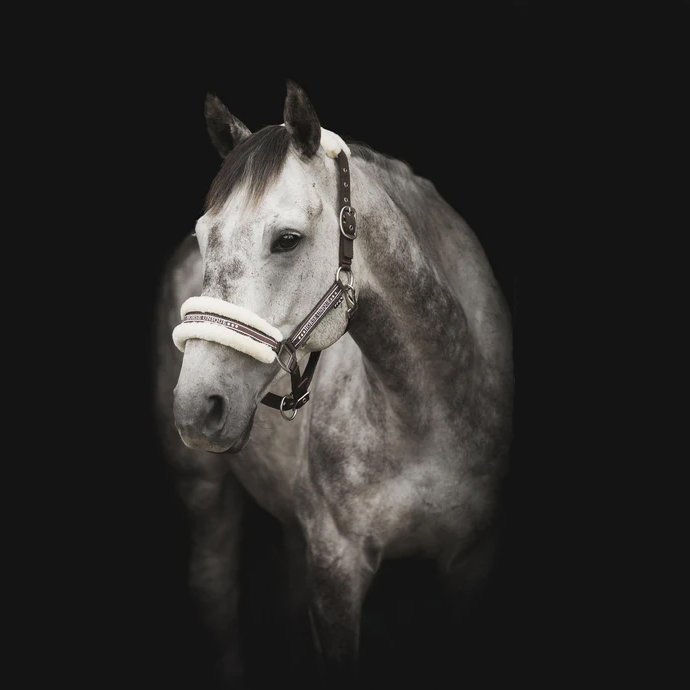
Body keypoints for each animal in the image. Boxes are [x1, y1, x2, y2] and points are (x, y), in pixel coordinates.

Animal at [155, 80, 513, 688]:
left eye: (287, 239)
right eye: (205, 236)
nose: (197, 407)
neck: (429, 411)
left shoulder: (473, 557)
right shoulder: (337, 566)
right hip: (203, 489)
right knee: (215, 590)